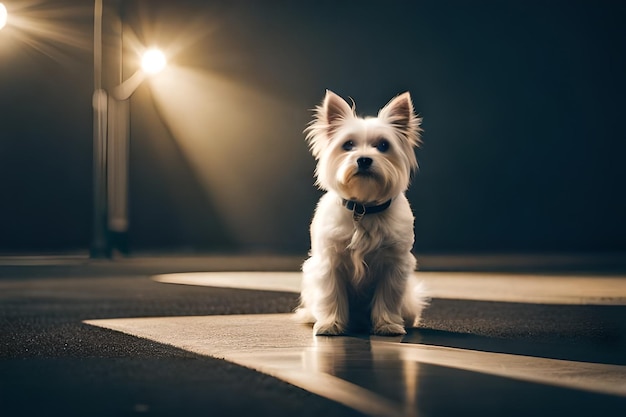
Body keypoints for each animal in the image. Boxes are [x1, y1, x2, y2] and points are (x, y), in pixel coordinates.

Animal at [294, 90, 426, 334]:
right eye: (348, 145)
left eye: (383, 145)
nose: (364, 159)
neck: (364, 207)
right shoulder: (329, 263)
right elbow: (331, 296)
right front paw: (330, 325)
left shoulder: (393, 266)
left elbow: (387, 298)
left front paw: (388, 325)